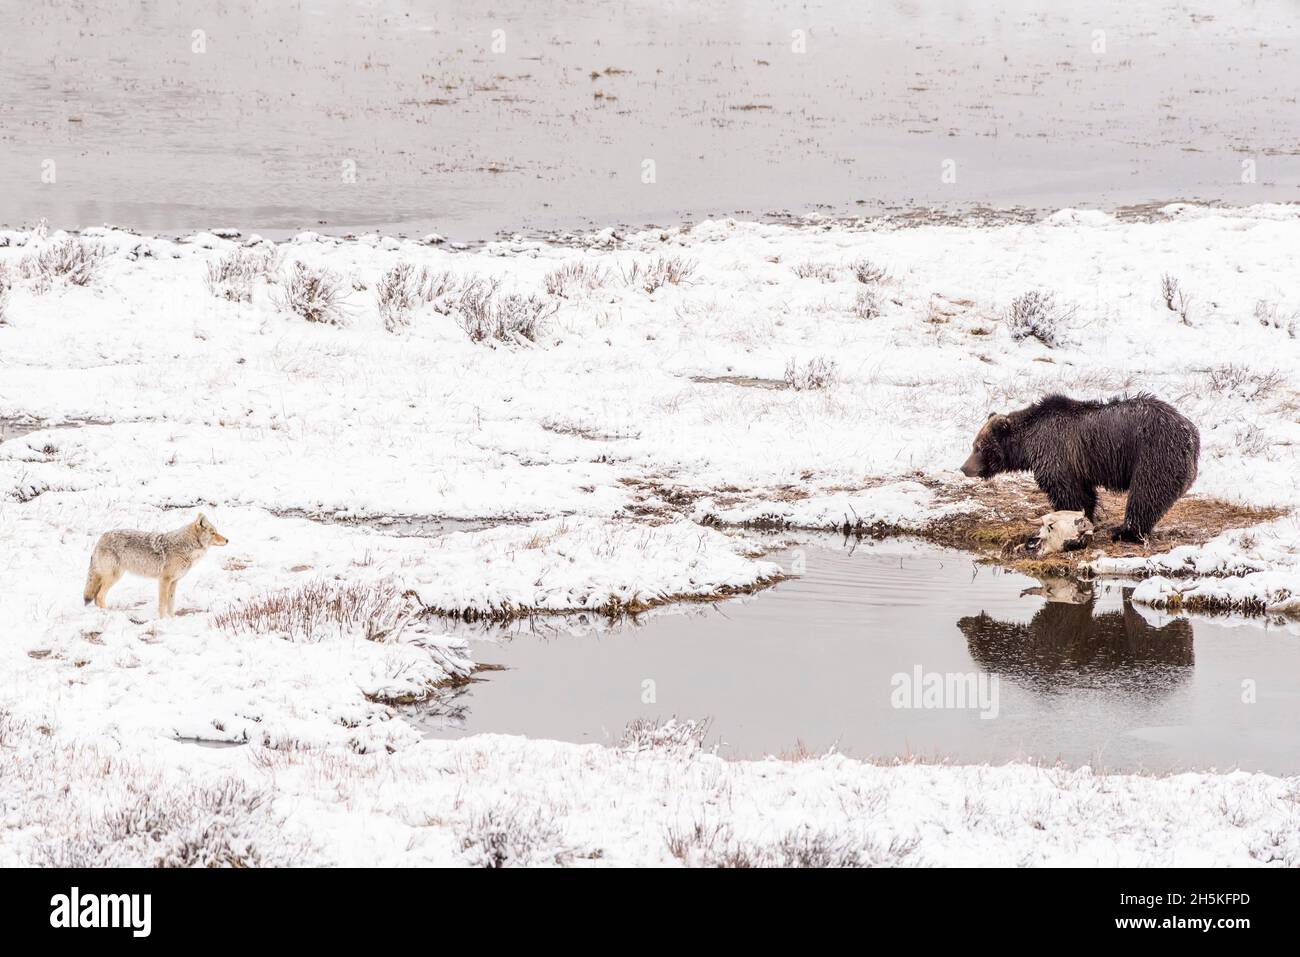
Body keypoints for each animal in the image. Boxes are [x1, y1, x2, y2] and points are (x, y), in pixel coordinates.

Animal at [961, 395, 1201, 540]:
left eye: (980, 447)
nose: (964, 468)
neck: (1027, 444)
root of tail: (1190, 433)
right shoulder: (1078, 466)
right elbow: (1085, 494)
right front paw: (1087, 518)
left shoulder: (1056, 453)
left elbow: (1067, 493)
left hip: (1153, 454)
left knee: (1145, 494)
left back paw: (1124, 531)